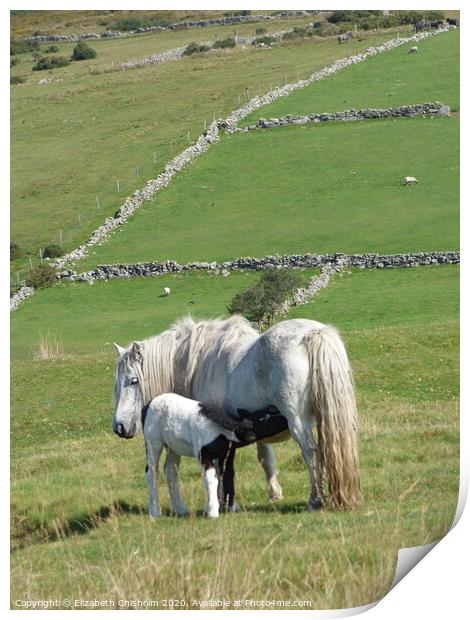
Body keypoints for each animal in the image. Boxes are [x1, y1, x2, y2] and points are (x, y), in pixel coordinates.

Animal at [142, 392, 286, 520]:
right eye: (265, 418)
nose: (286, 419)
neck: (221, 431)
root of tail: (148, 404)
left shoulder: (225, 454)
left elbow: (227, 475)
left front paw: (231, 506)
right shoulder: (203, 454)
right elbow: (211, 478)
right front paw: (212, 510)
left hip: (173, 446)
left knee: (171, 471)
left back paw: (180, 509)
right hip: (152, 440)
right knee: (152, 472)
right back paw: (155, 511)